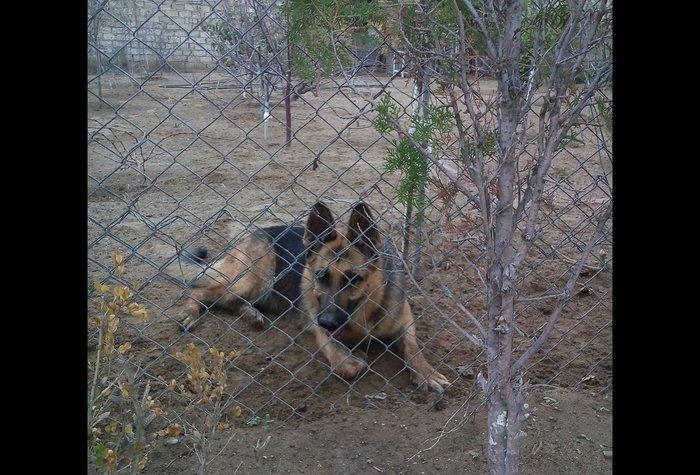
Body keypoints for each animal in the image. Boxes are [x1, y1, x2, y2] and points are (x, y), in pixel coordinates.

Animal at [177, 201, 449, 393]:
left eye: (353, 279)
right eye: (320, 275)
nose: (327, 322)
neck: (364, 314)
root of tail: (257, 232)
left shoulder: (405, 322)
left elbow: (413, 349)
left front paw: (426, 373)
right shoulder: (321, 331)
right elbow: (345, 364)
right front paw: (356, 359)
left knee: (231, 301)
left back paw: (252, 314)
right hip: (256, 277)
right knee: (198, 290)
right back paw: (189, 313)